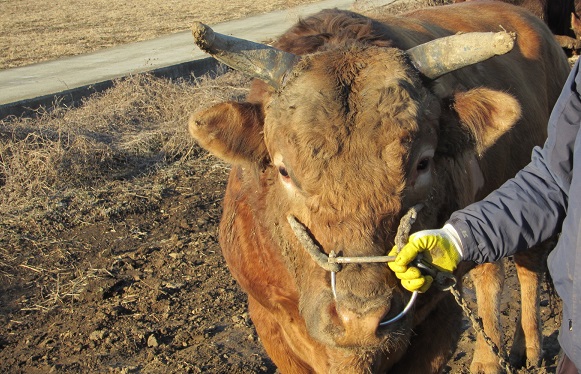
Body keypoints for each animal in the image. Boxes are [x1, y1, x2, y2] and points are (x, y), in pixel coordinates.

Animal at [189, 1, 568, 372]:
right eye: (284, 170)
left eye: (423, 163)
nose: (360, 319)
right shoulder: (269, 319)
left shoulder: (439, 318)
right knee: (490, 273)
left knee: (527, 268)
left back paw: (523, 348)